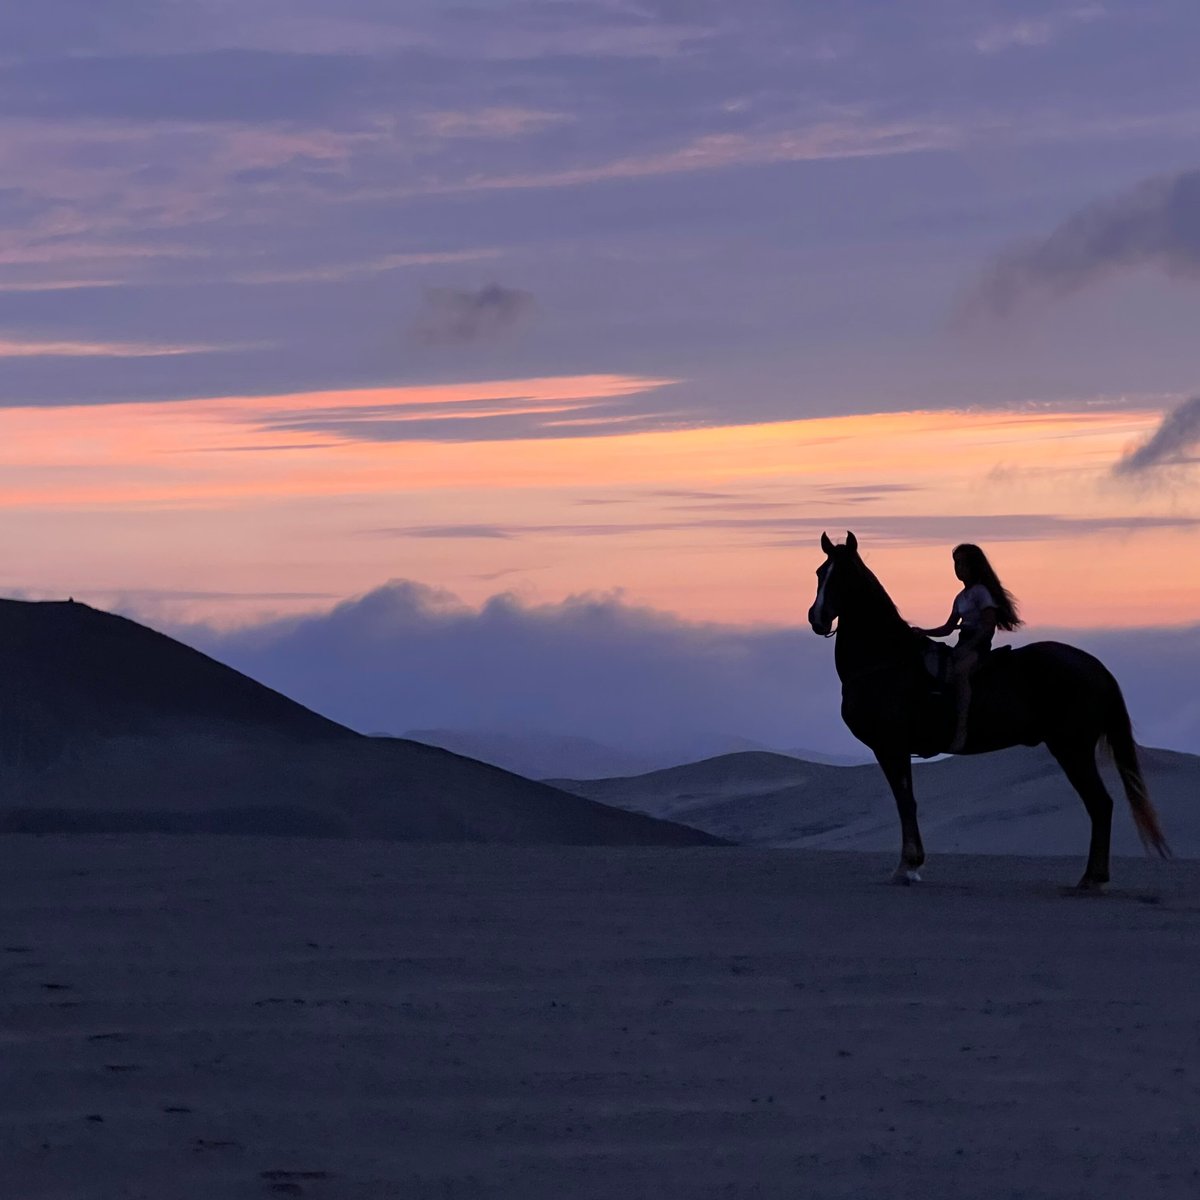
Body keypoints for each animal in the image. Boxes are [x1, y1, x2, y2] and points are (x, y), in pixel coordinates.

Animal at [811, 530, 1166, 888]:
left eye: (844, 576)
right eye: (819, 573)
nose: (817, 618)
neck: (886, 661)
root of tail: (1096, 667)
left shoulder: (890, 746)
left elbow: (905, 802)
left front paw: (907, 866)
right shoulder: (894, 749)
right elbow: (906, 801)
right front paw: (911, 864)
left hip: (1072, 748)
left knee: (1100, 804)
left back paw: (1092, 878)